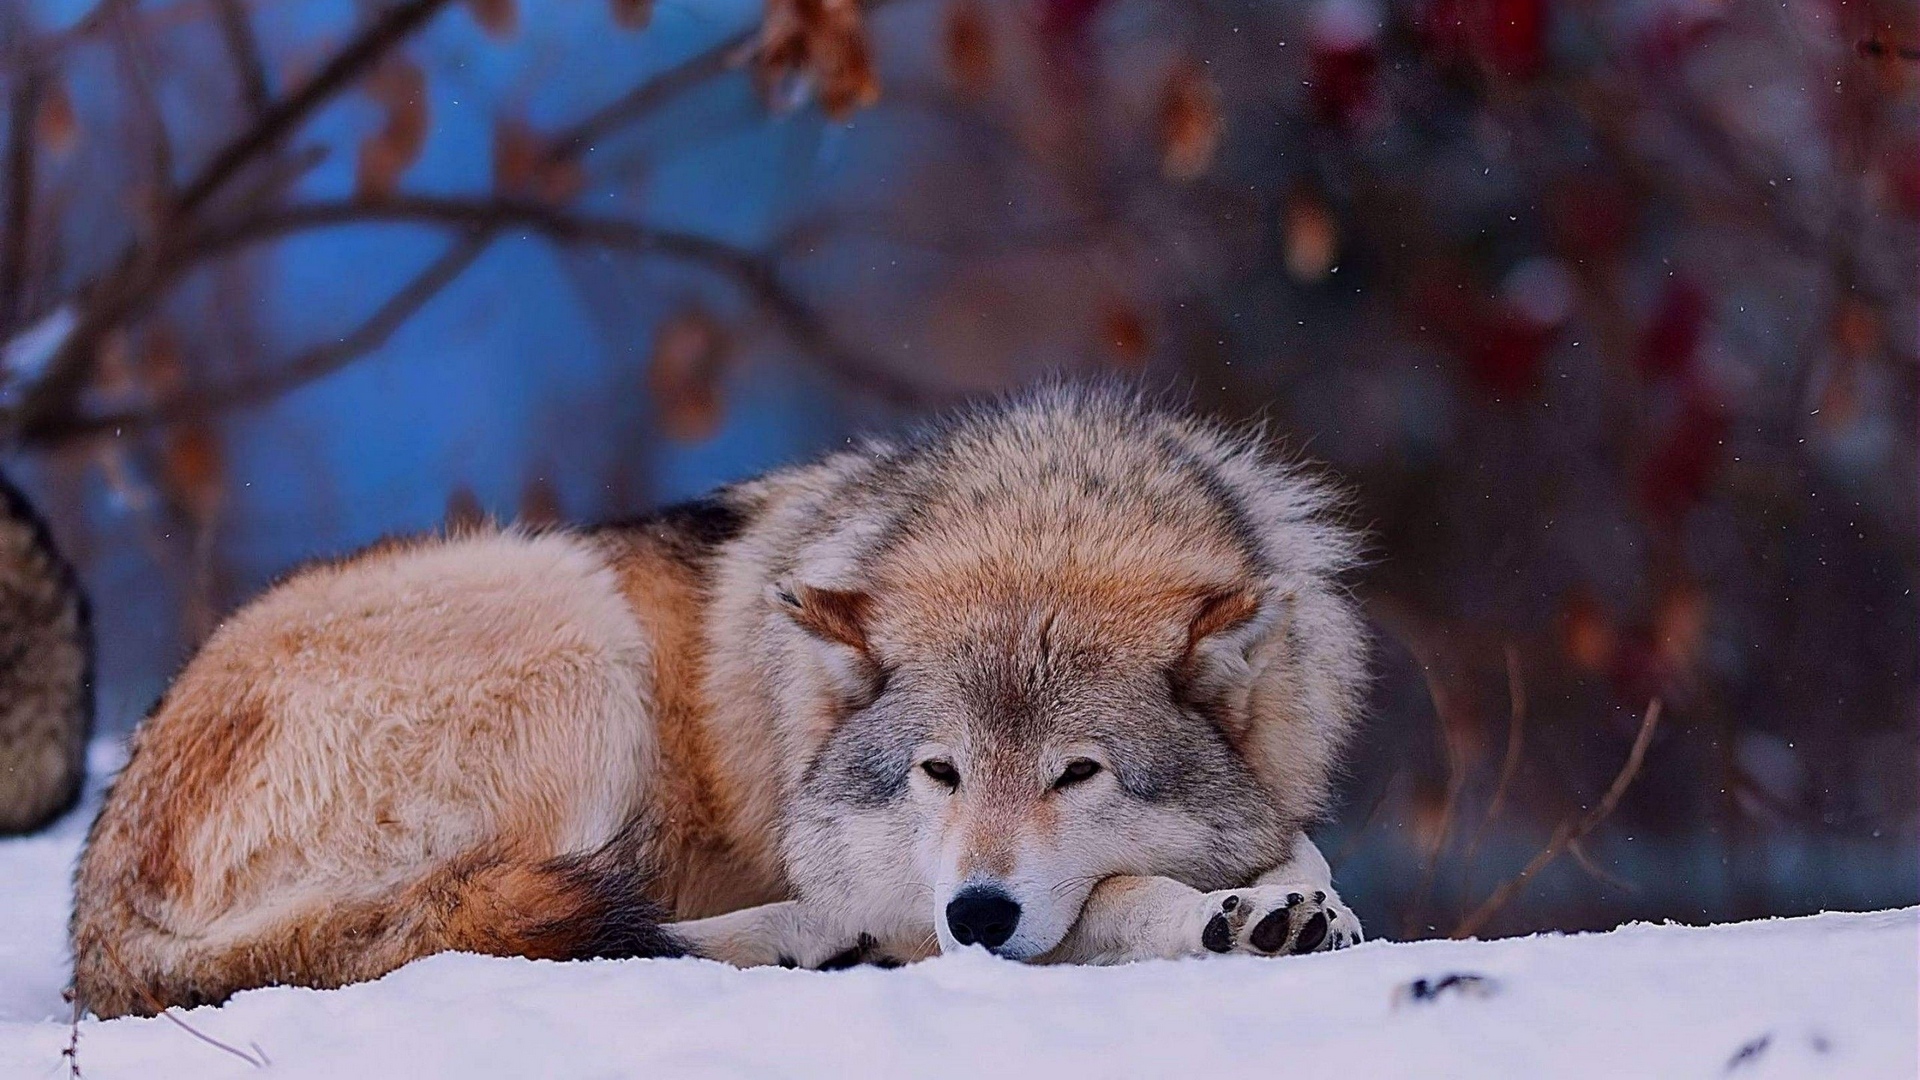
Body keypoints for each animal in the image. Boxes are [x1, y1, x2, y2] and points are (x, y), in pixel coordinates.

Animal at [70, 386, 1369, 1018]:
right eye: (938, 772)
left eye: (1078, 773)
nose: (978, 912)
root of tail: (98, 903)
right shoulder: (911, 881)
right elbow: (1110, 897)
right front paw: (1227, 918)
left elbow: (1299, 845)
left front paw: (1292, 901)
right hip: (575, 632)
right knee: (511, 931)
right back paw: (815, 942)